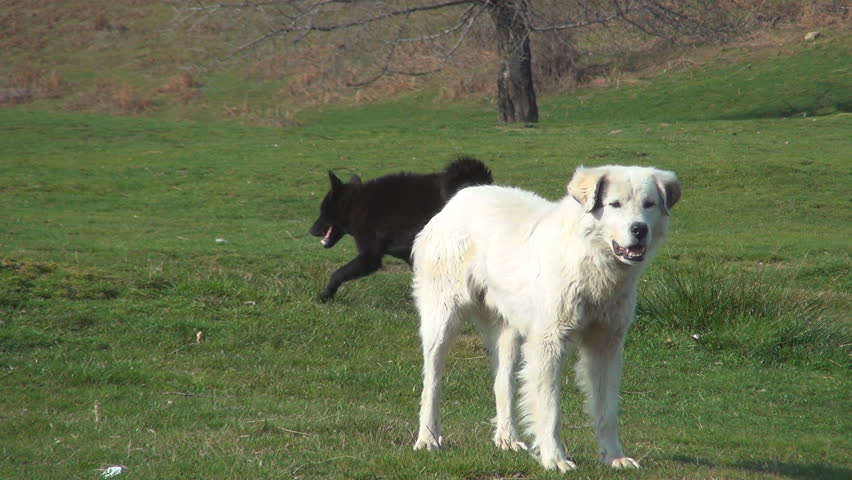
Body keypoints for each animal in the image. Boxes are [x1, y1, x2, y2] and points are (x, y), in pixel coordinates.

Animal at [310, 158, 492, 300]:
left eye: (322, 210)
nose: (310, 230)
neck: (355, 204)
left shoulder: (370, 257)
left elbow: (338, 273)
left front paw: (325, 296)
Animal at [410, 165, 684, 472]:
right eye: (615, 204)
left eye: (649, 204)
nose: (639, 229)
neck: (590, 257)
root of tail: (458, 199)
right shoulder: (549, 342)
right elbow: (550, 407)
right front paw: (554, 458)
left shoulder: (606, 344)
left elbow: (607, 410)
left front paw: (614, 456)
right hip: (442, 317)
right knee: (432, 381)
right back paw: (428, 438)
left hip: (508, 332)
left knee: (503, 381)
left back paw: (507, 438)